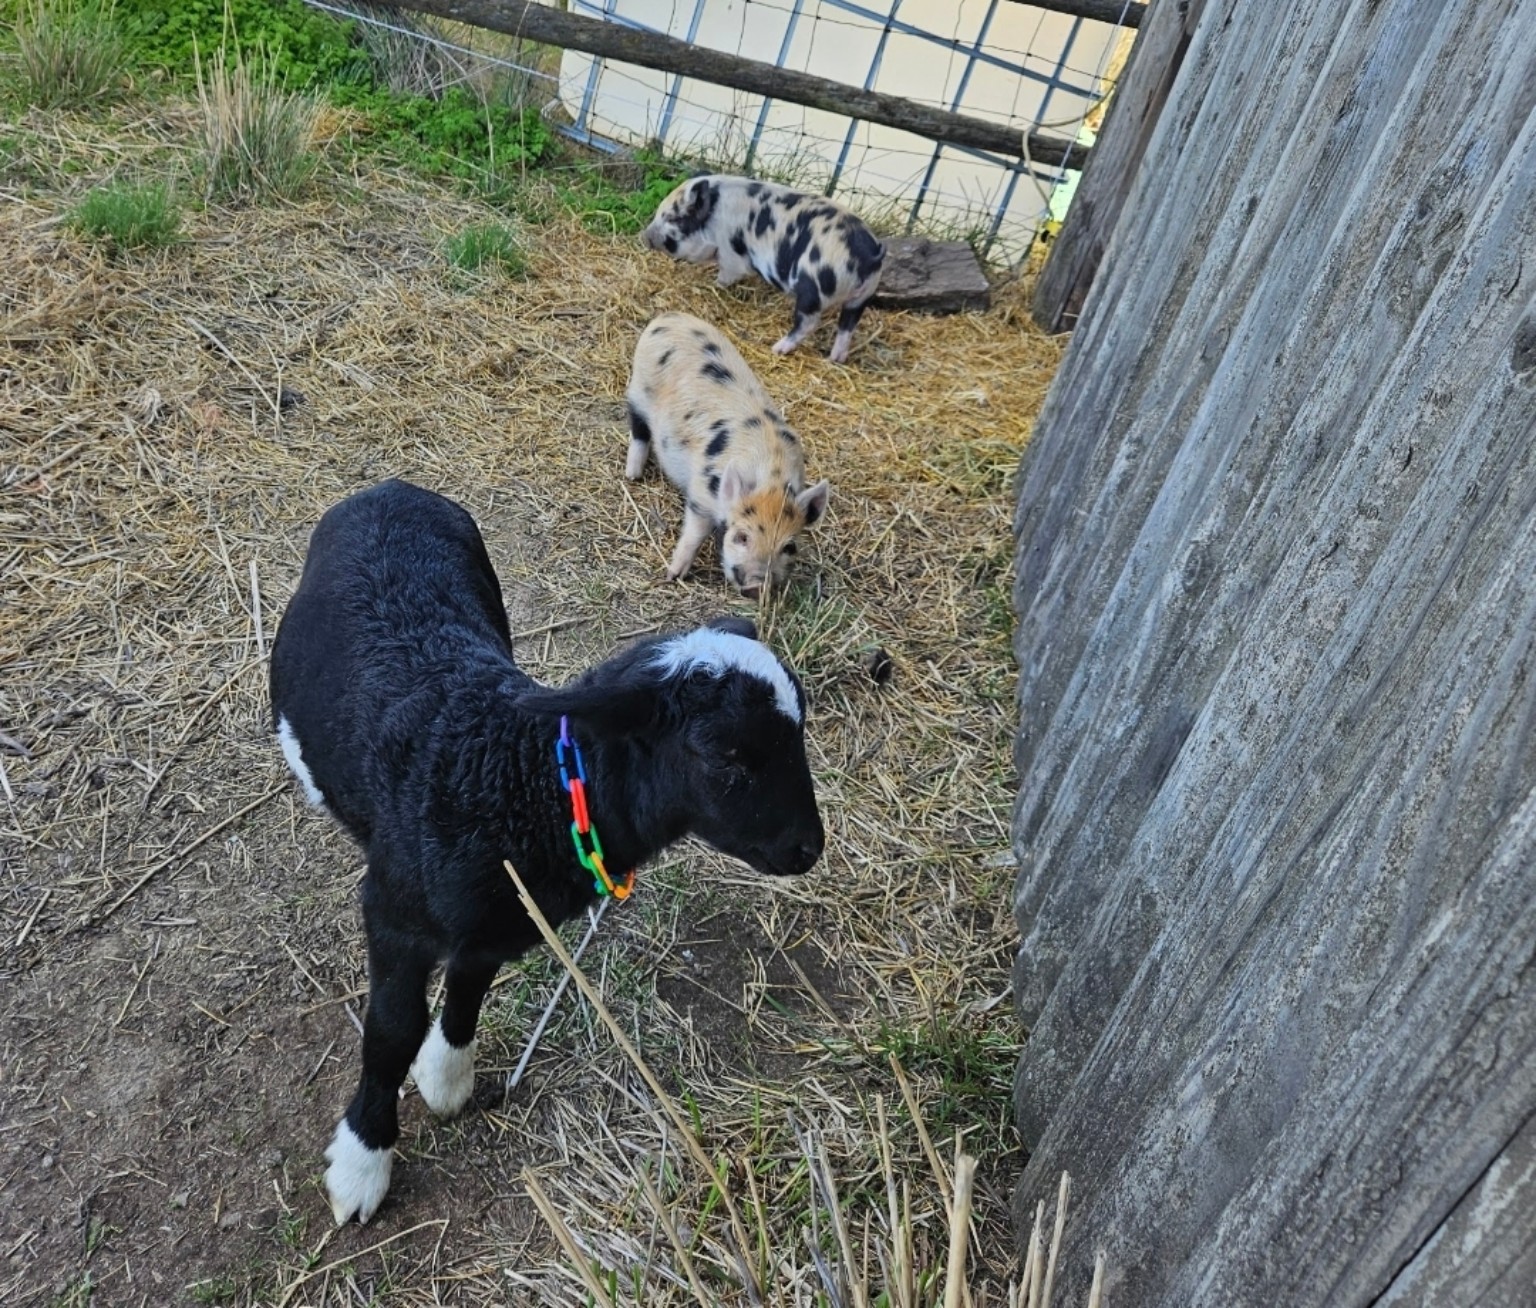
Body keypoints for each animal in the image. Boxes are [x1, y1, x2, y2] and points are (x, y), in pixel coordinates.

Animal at [269, 479, 825, 1225]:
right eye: (726, 754)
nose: (809, 847)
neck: (523, 781)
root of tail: (391, 488)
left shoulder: (499, 920)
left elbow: (468, 988)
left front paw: (447, 1075)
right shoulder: (394, 912)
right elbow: (389, 1031)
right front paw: (363, 1160)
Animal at [625, 312, 830, 597]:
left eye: (789, 547)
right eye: (741, 537)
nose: (757, 585)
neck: (772, 478)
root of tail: (669, 318)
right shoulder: (700, 496)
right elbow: (694, 534)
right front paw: (673, 575)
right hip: (639, 388)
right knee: (638, 428)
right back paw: (633, 475)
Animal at [641, 175, 884, 363]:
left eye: (673, 217)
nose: (644, 236)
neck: (714, 221)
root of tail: (868, 255)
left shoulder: (731, 255)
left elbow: (726, 275)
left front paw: (714, 284)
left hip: (811, 287)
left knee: (808, 322)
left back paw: (777, 349)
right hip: (862, 296)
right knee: (847, 326)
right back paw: (835, 359)